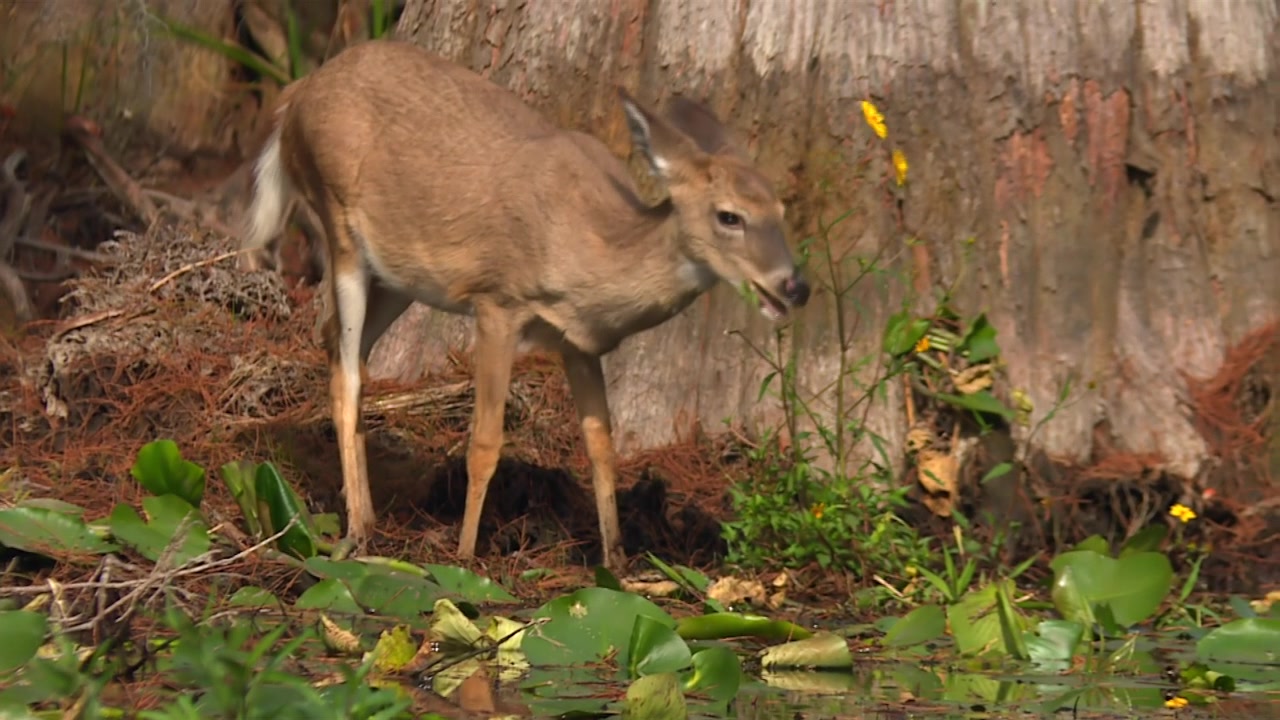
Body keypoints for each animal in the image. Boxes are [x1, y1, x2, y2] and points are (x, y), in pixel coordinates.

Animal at [239, 39, 810, 571]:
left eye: (781, 211)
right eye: (729, 216)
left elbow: (601, 445)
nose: (794, 286)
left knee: (338, 345)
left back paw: (369, 515)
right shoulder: (498, 301)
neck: (591, 246)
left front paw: (617, 560)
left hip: (398, 274)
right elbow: (486, 441)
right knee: (347, 372)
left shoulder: (580, 342)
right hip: (338, 222)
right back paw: (358, 531)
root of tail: (296, 94)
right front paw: (465, 554)